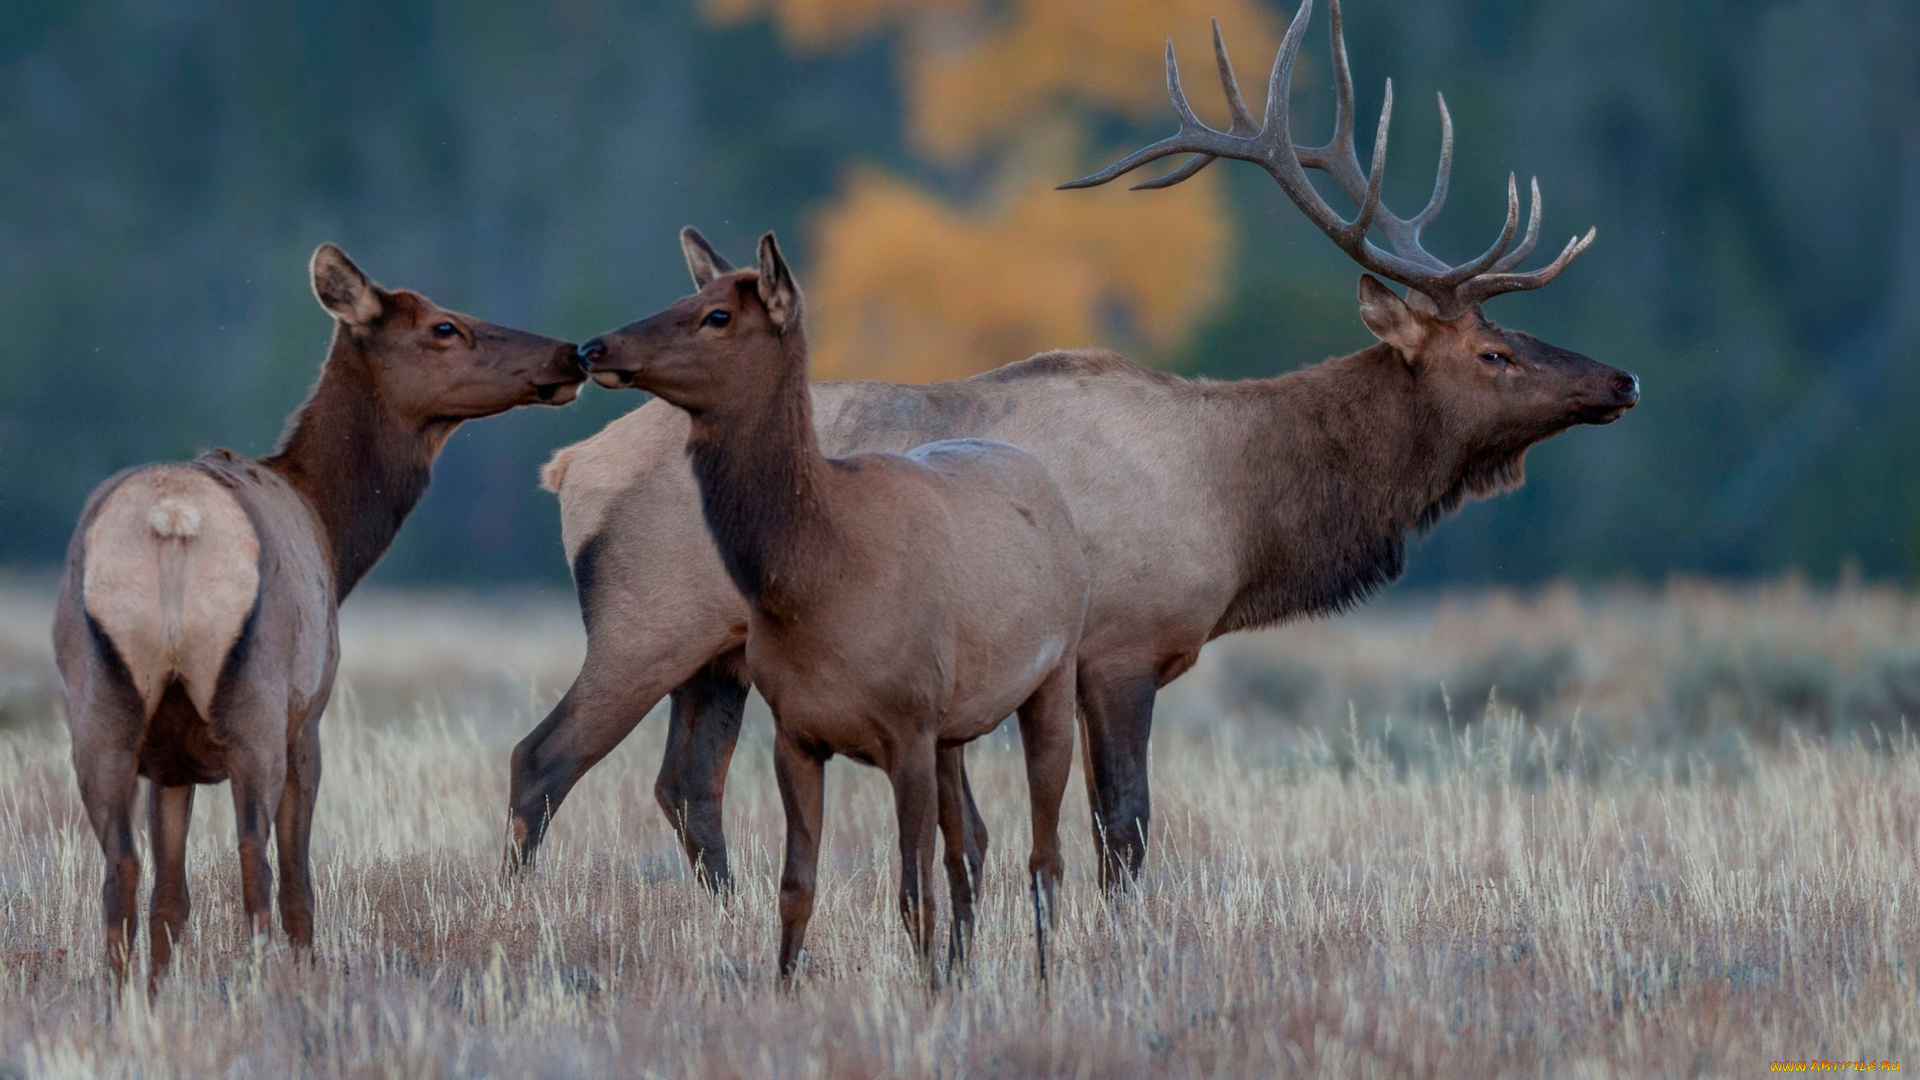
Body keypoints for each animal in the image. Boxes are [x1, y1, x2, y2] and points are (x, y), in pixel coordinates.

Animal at [58, 244, 583, 983]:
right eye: (443, 327)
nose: (572, 354)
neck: (335, 535)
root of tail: (172, 520)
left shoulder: (172, 760)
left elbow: (171, 899)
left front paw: (160, 989)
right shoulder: (307, 720)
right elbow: (297, 883)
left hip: (98, 706)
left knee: (121, 871)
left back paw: (122, 994)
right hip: (257, 701)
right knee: (257, 867)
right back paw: (263, 986)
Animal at [510, 0, 1635, 891]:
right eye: (1494, 352)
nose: (1620, 381)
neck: (1240, 508)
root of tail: (566, 469)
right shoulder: (1120, 646)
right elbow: (1122, 830)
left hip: (719, 658)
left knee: (685, 790)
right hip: (644, 624)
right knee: (541, 763)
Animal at [576, 226, 1090, 976]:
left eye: (717, 315)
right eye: (685, 294)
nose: (594, 347)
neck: (819, 583)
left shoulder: (908, 725)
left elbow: (911, 891)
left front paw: (927, 991)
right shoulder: (796, 730)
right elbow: (796, 887)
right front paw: (789, 985)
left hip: (1053, 673)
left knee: (1043, 855)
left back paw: (1044, 982)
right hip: (955, 724)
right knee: (973, 842)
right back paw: (965, 970)